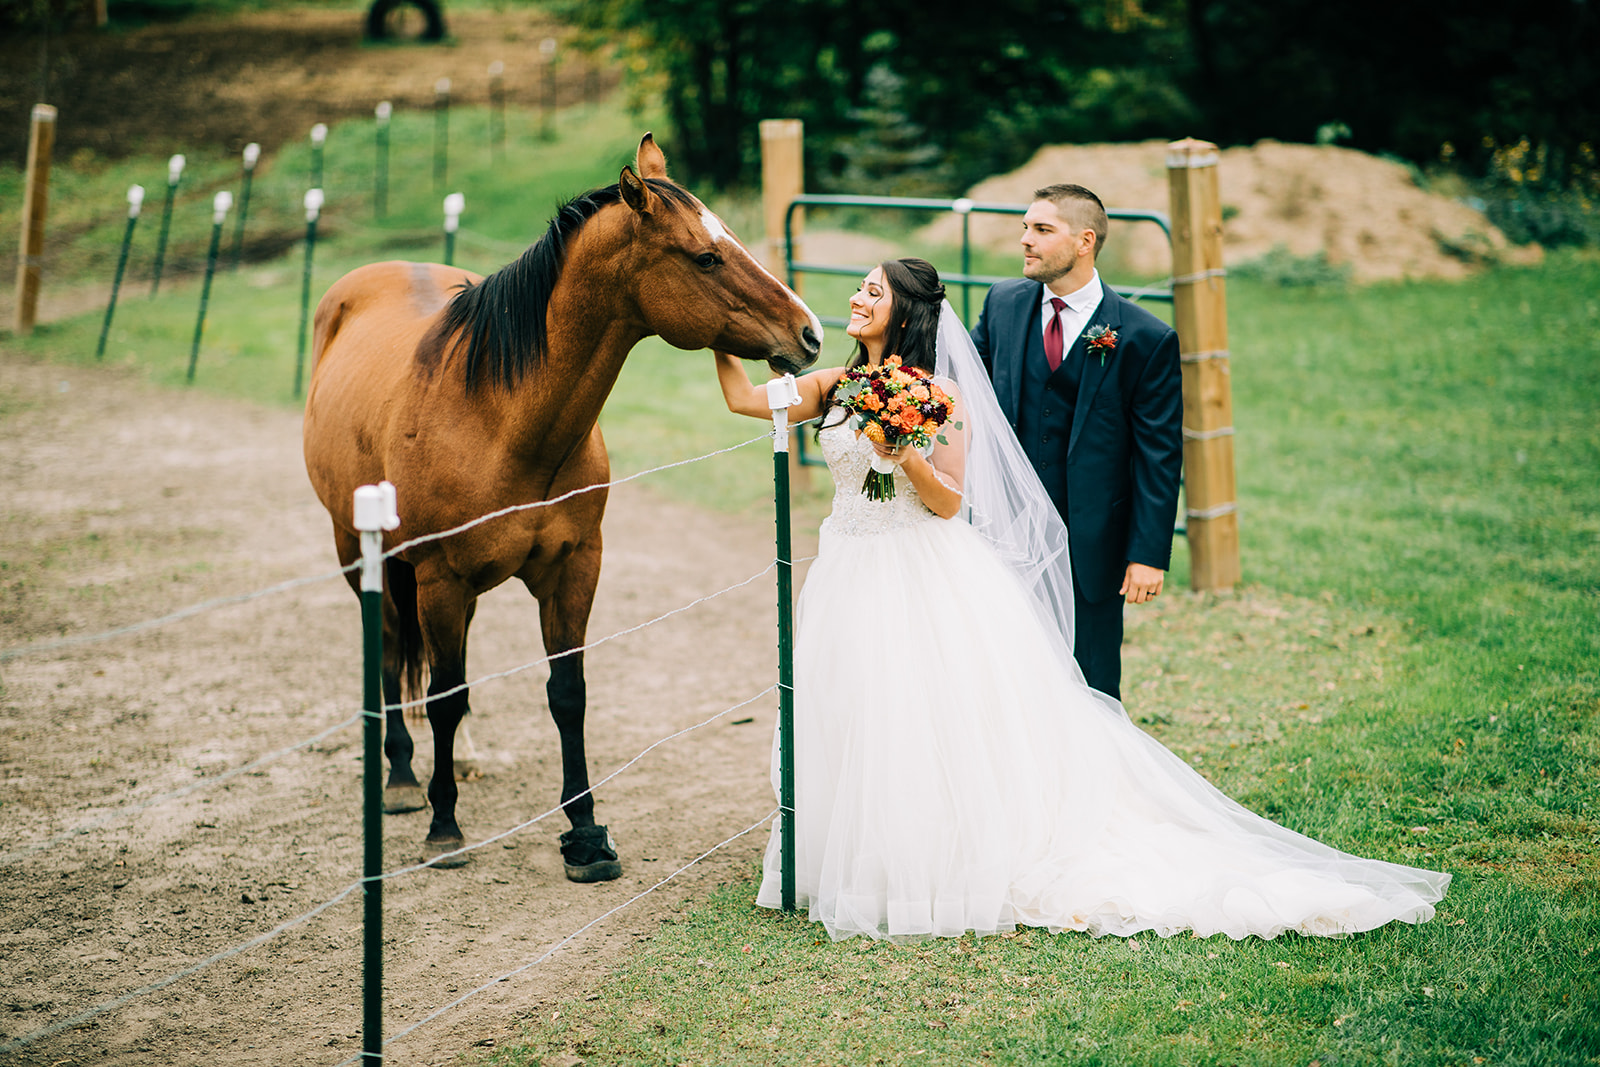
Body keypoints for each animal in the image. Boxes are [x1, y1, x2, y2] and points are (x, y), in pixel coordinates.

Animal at [302, 134, 821, 877]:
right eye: (705, 256)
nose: (809, 334)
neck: (499, 420)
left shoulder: (573, 568)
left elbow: (565, 692)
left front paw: (585, 832)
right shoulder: (441, 578)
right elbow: (444, 696)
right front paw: (443, 826)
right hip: (363, 553)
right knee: (394, 650)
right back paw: (402, 778)